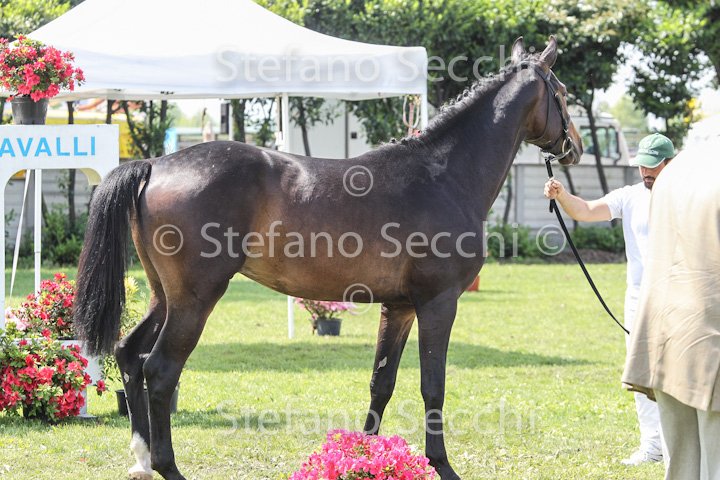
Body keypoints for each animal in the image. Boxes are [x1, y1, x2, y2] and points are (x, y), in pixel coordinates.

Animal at [74, 36, 582, 480]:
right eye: (562, 93)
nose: (573, 148)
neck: (443, 176)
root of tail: (154, 165)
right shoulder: (438, 302)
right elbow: (431, 385)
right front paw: (443, 466)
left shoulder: (399, 307)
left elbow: (382, 382)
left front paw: (362, 458)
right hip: (195, 300)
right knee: (160, 371)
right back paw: (168, 467)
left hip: (164, 296)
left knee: (129, 353)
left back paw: (141, 460)